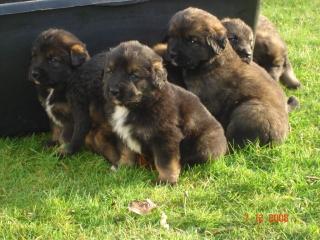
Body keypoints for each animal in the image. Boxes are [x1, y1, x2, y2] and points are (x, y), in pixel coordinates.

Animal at [102, 41, 228, 184]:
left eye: (133, 75)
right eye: (110, 71)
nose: (113, 91)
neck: (139, 104)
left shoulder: (165, 136)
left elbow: (165, 162)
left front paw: (166, 181)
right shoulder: (123, 133)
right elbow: (126, 152)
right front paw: (122, 169)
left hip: (205, 143)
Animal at [168, 7, 290, 146]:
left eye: (193, 41)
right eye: (172, 36)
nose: (172, 54)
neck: (211, 62)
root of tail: (277, 140)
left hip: (248, 109)